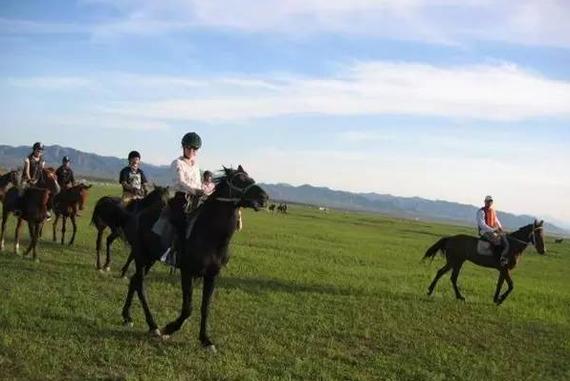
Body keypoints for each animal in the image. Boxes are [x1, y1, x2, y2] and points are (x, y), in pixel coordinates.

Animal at [121, 165, 268, 348]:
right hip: (141, 256)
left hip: (150, 258)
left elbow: (205, 308)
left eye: (251, 178)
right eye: (240, 180)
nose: (264, 197)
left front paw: (205, 340)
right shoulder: (187, 272)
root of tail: (138, 213)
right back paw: (153, 326)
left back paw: (127, 316)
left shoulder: (212, 276)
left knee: (134, 281)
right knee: (140, 285)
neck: (209, 235)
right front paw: (168, 329)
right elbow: (188, 308)